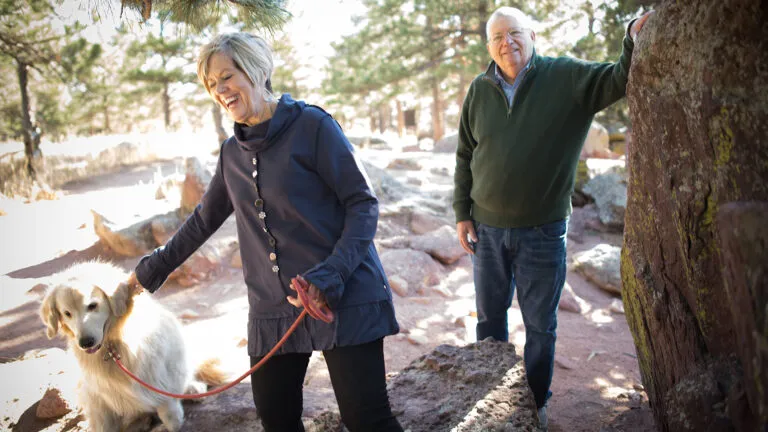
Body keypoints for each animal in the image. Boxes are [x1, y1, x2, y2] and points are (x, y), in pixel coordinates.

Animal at [40, 262, 225, 430]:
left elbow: (170, 415)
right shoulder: (98, 400)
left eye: (92, 306)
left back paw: (193, 389)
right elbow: (104, 425)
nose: (85, 343)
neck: (112, 348)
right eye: (67, 313)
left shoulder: (158, 376)